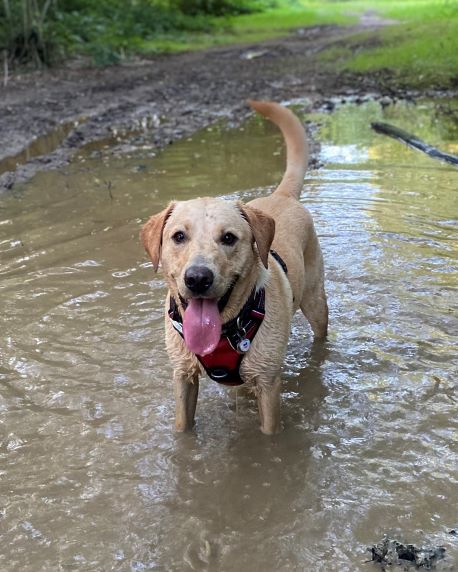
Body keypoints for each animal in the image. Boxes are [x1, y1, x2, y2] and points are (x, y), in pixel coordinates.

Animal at [141, 101, 328, 434]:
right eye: (178, 236)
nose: (198, 278)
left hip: (316, 302)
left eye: (228, 237)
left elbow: (269, 433)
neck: (225, 330)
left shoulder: (268, 383)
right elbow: (182, 427)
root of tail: (281, 195)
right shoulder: (183, 376)